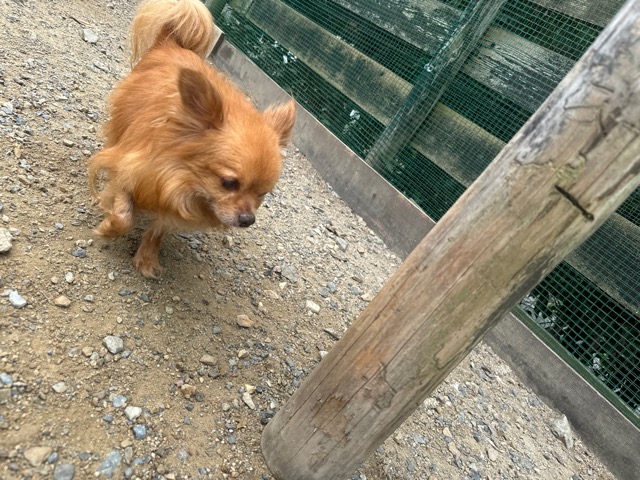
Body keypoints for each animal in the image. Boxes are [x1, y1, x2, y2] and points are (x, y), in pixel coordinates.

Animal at [88, 0, 296, 278]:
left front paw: (146, 259)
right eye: (229, 183)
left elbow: (157, 231)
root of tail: (172, 42)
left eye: (263, 193)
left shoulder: (174, 209)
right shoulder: (126, 168)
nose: (248, 219)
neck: (182, 180)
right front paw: (109, 228)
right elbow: (124, 215)